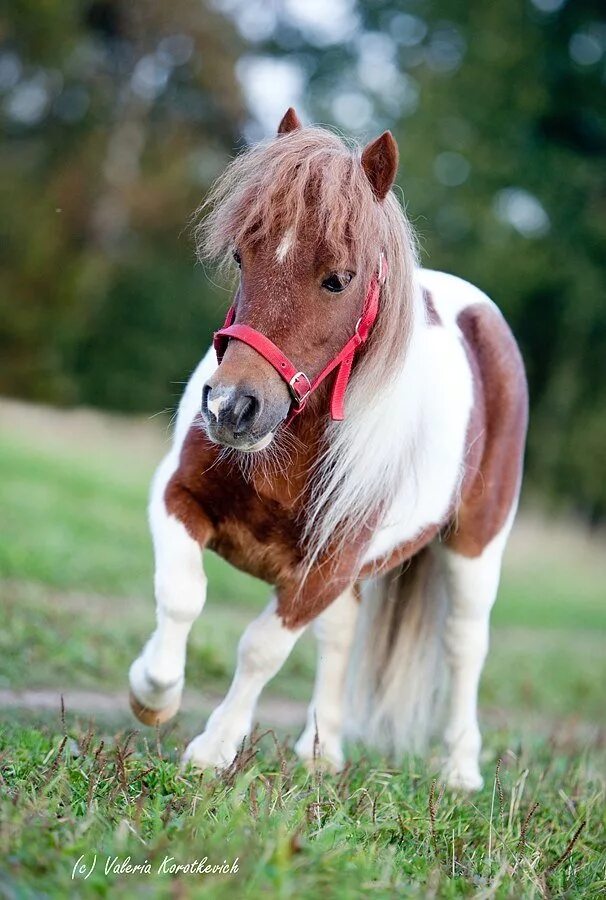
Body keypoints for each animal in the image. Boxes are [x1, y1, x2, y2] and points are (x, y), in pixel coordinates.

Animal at [128, 109, 528, 792]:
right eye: (242, 256)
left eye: (337, 280)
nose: (231, 409)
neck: (287, 449)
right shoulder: (177, 497)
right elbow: (181, 595)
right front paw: (153, 696)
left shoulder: (324, 571)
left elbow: (261, 648)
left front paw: (213, 750)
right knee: (340, 637)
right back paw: (323, 751)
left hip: (477, 548)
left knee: (464, 645)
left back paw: (459, 770)